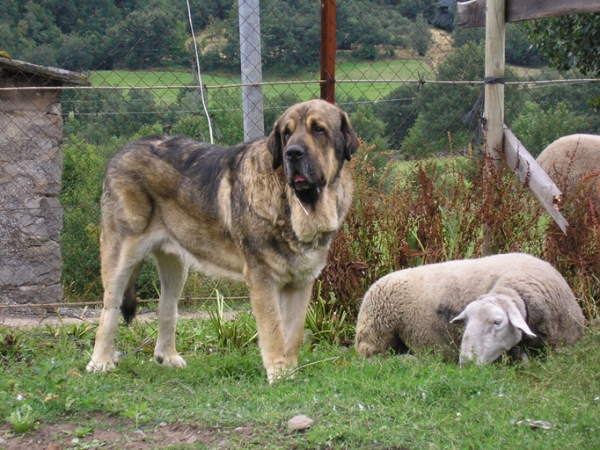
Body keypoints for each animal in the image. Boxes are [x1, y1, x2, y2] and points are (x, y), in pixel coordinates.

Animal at [86, 100, 358, 382]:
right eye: (286, 134)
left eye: (319, 130)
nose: (292, 153)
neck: (299, 206)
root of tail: (121, 152)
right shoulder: (263, 279)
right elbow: (274, 330)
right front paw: (279, 373)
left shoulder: (301, 282)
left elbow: (292, 333)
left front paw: (291, 370)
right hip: (122, 254)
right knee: (110, 309)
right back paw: (101, 361)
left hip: (175, 265)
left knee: (166, 308)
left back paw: (167, 357)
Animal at [354, 253, 584, 366]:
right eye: (465, 321)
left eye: (498, 322)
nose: (465, 362)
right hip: (375, 331)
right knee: (372, 359)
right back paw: (408, 360)